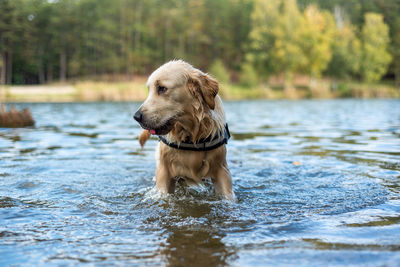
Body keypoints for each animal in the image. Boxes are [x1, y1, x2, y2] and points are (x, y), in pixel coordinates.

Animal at [134, 60, 234, 201]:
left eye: (162, 88)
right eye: (149, 90)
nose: (137, 117)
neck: (191, 134)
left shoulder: (222, 170)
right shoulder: (164, 172)